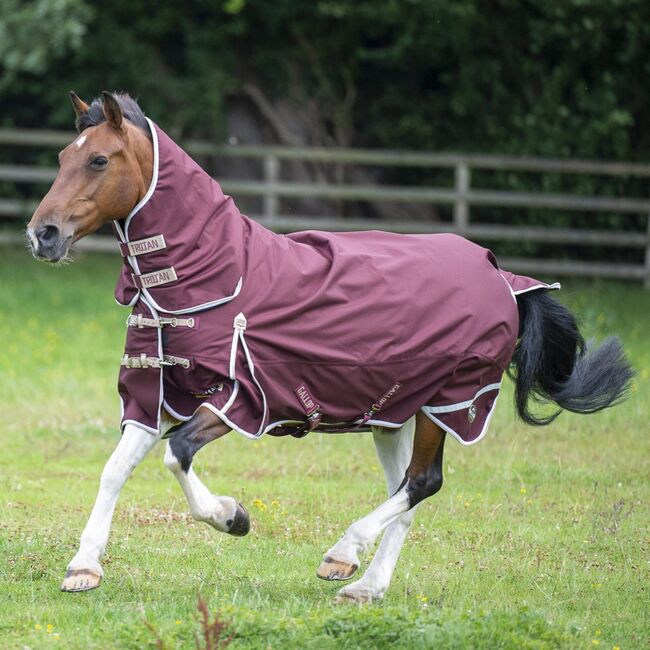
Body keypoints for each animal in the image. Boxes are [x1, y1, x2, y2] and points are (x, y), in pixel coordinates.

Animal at [27, 91, 632, 604]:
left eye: (99, 160)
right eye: (60, 156)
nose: (42, 235)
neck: (214, 278)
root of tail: (502, 277)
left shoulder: (241, 400)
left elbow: (177, 455)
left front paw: (233, 517)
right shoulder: (155, 395)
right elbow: (114, 469)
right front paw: (84, 568)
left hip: (451, 403)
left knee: (423, 482)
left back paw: (343, 553)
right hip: (395, 414)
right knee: (407, 491)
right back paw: (366, 586)